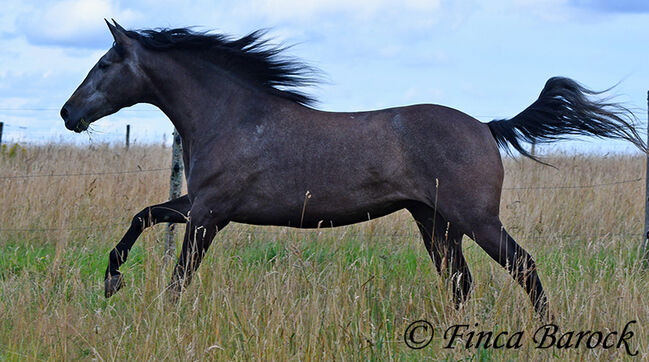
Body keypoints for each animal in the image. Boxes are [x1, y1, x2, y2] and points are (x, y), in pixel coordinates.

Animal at [59, 21, 644, 318]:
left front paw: (156, 315)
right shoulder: (199, 206)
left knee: (522, 267)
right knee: (460, 283)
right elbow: (142, 217)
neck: (232, 117)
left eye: (105, 63)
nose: (68, 113)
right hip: (434, 223)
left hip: (475, 220)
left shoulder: (209, 214)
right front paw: (111, 282)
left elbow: (179, 275)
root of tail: (485, 125)